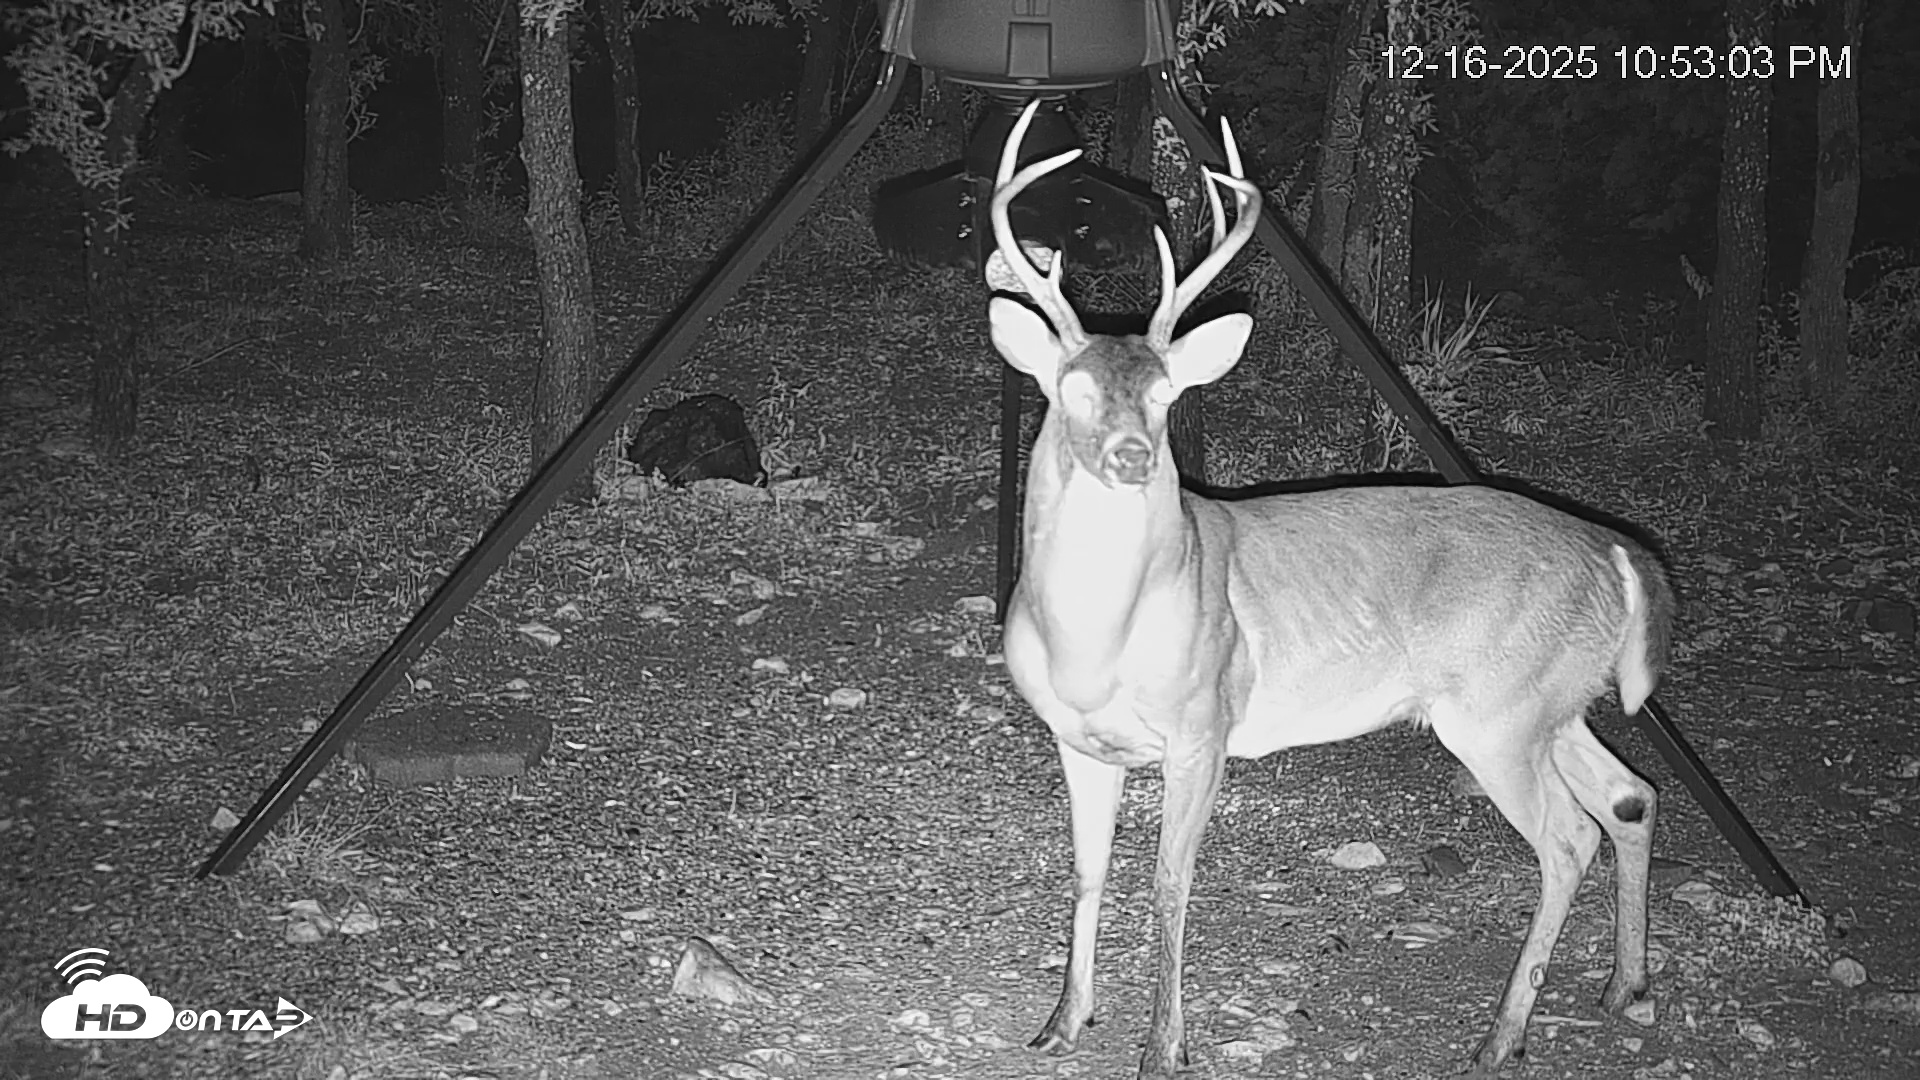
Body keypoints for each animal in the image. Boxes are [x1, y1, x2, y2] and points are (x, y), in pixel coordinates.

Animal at [986, 99, 1675, 1079]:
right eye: (1070, 387)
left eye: (1165, 396)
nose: (1131, 455)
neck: (1094, 642)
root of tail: (1617, 550)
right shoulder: (1078, 739)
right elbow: (1086, 871)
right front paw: (1062, 1020)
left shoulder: (1204, 726)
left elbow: (1169, 883)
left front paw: (1165, 1046)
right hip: (1551, 701)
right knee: (1629, 796)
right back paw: (1625, 986)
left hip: (1499, 713)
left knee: (1568, 838)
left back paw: (1500, 1035)